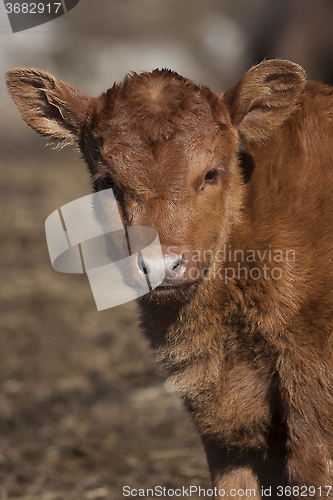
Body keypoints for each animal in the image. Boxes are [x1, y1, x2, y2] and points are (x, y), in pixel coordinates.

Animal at [5, 60, 333, 498]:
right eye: (107, 183)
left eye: (210, 173)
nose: (160, 265)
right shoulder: (226, 423)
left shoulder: (312, 383)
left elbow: (313, 471)